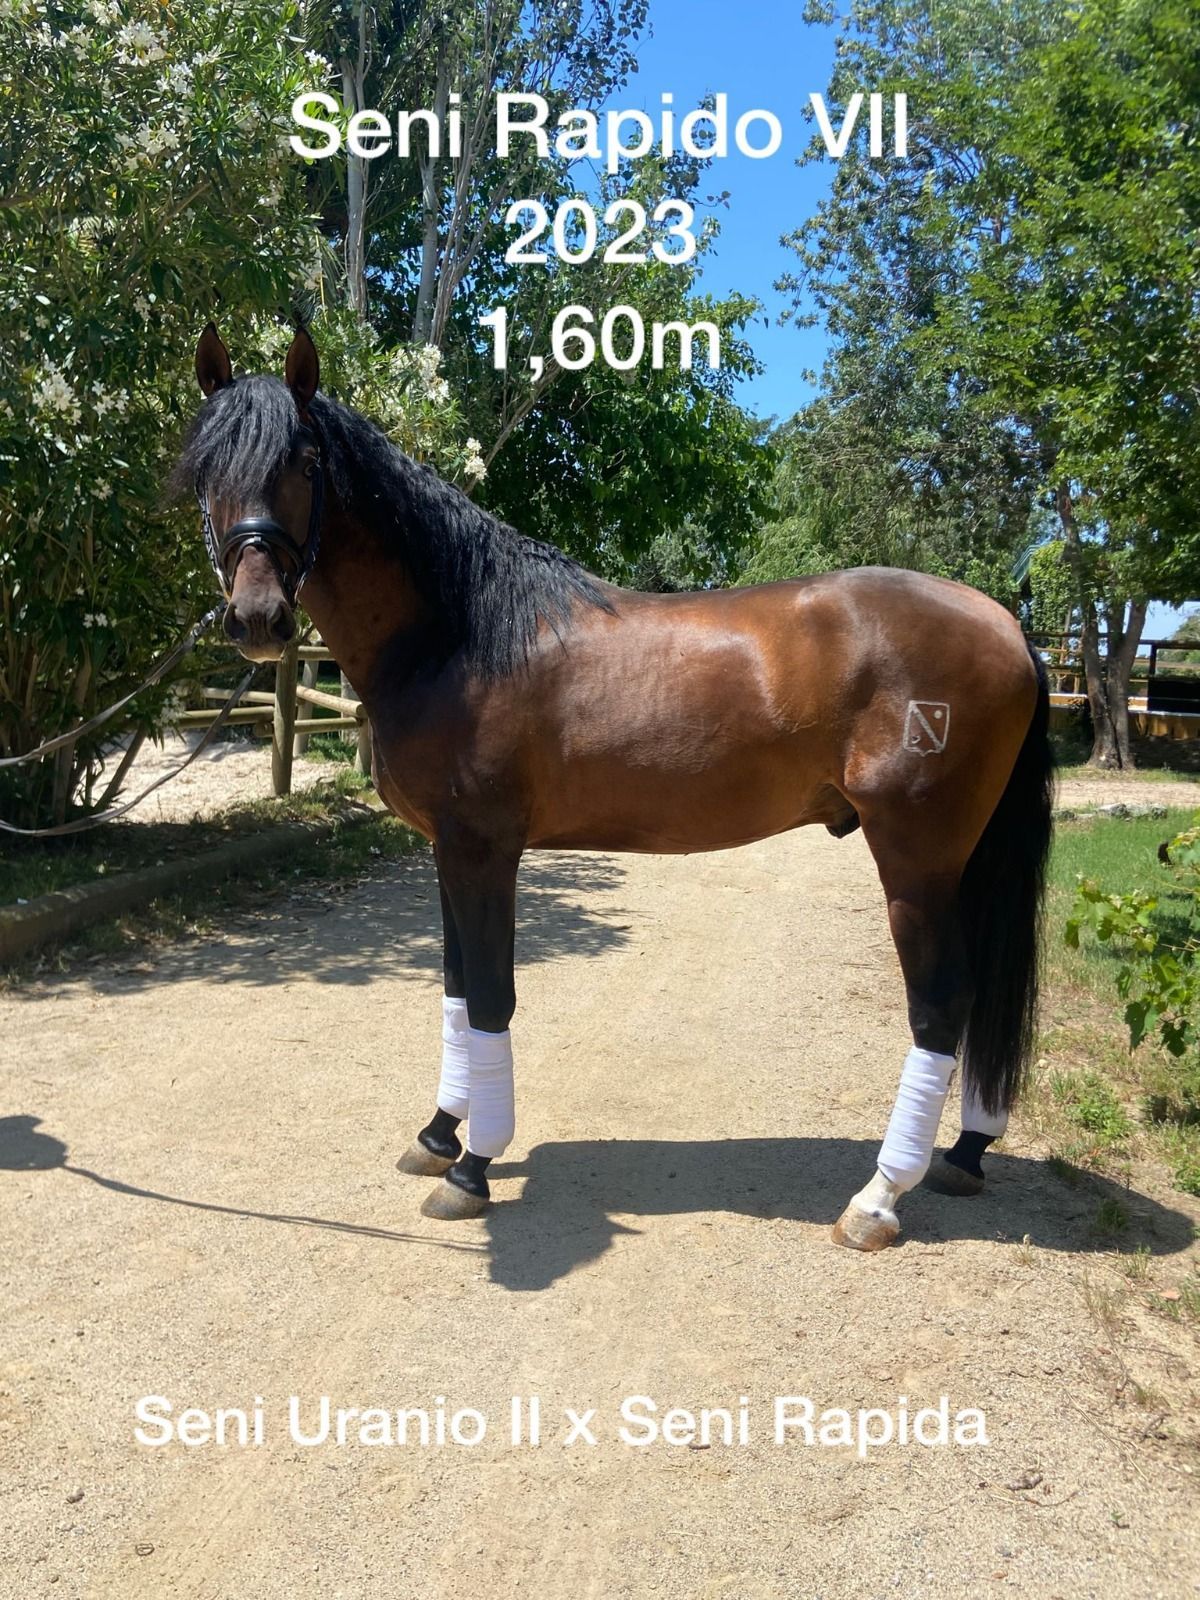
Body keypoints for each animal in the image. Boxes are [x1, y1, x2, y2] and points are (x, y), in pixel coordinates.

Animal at [173, 324, 1054, 1251]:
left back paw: (878, 1198)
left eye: (305, 459)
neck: (462, 632)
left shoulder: (483, 851)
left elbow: (490, 997)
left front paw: (473, 1167)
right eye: (203, 467)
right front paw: (439, 1134)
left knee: (941, 1009)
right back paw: (963, 1152)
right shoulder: (448, 853)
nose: (257, 619)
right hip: (962, 861)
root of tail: (1008, 626)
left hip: (917, 860)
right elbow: (455, 990)